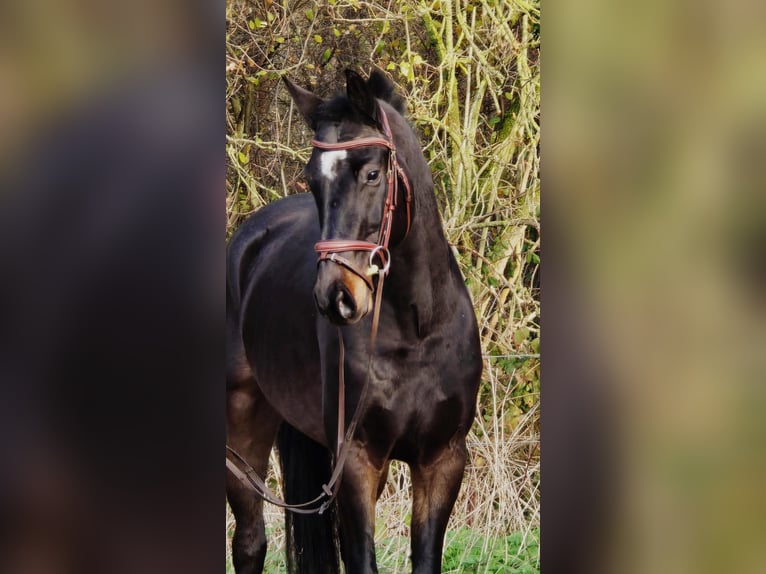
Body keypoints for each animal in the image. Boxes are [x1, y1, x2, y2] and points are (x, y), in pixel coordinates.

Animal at [226, 69, 482, 574]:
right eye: (313, 180)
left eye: (372, 174)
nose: (336, 297)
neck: (417, 332)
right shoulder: (358, 464)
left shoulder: (442, 462)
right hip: (241, 429)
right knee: (249, 542)